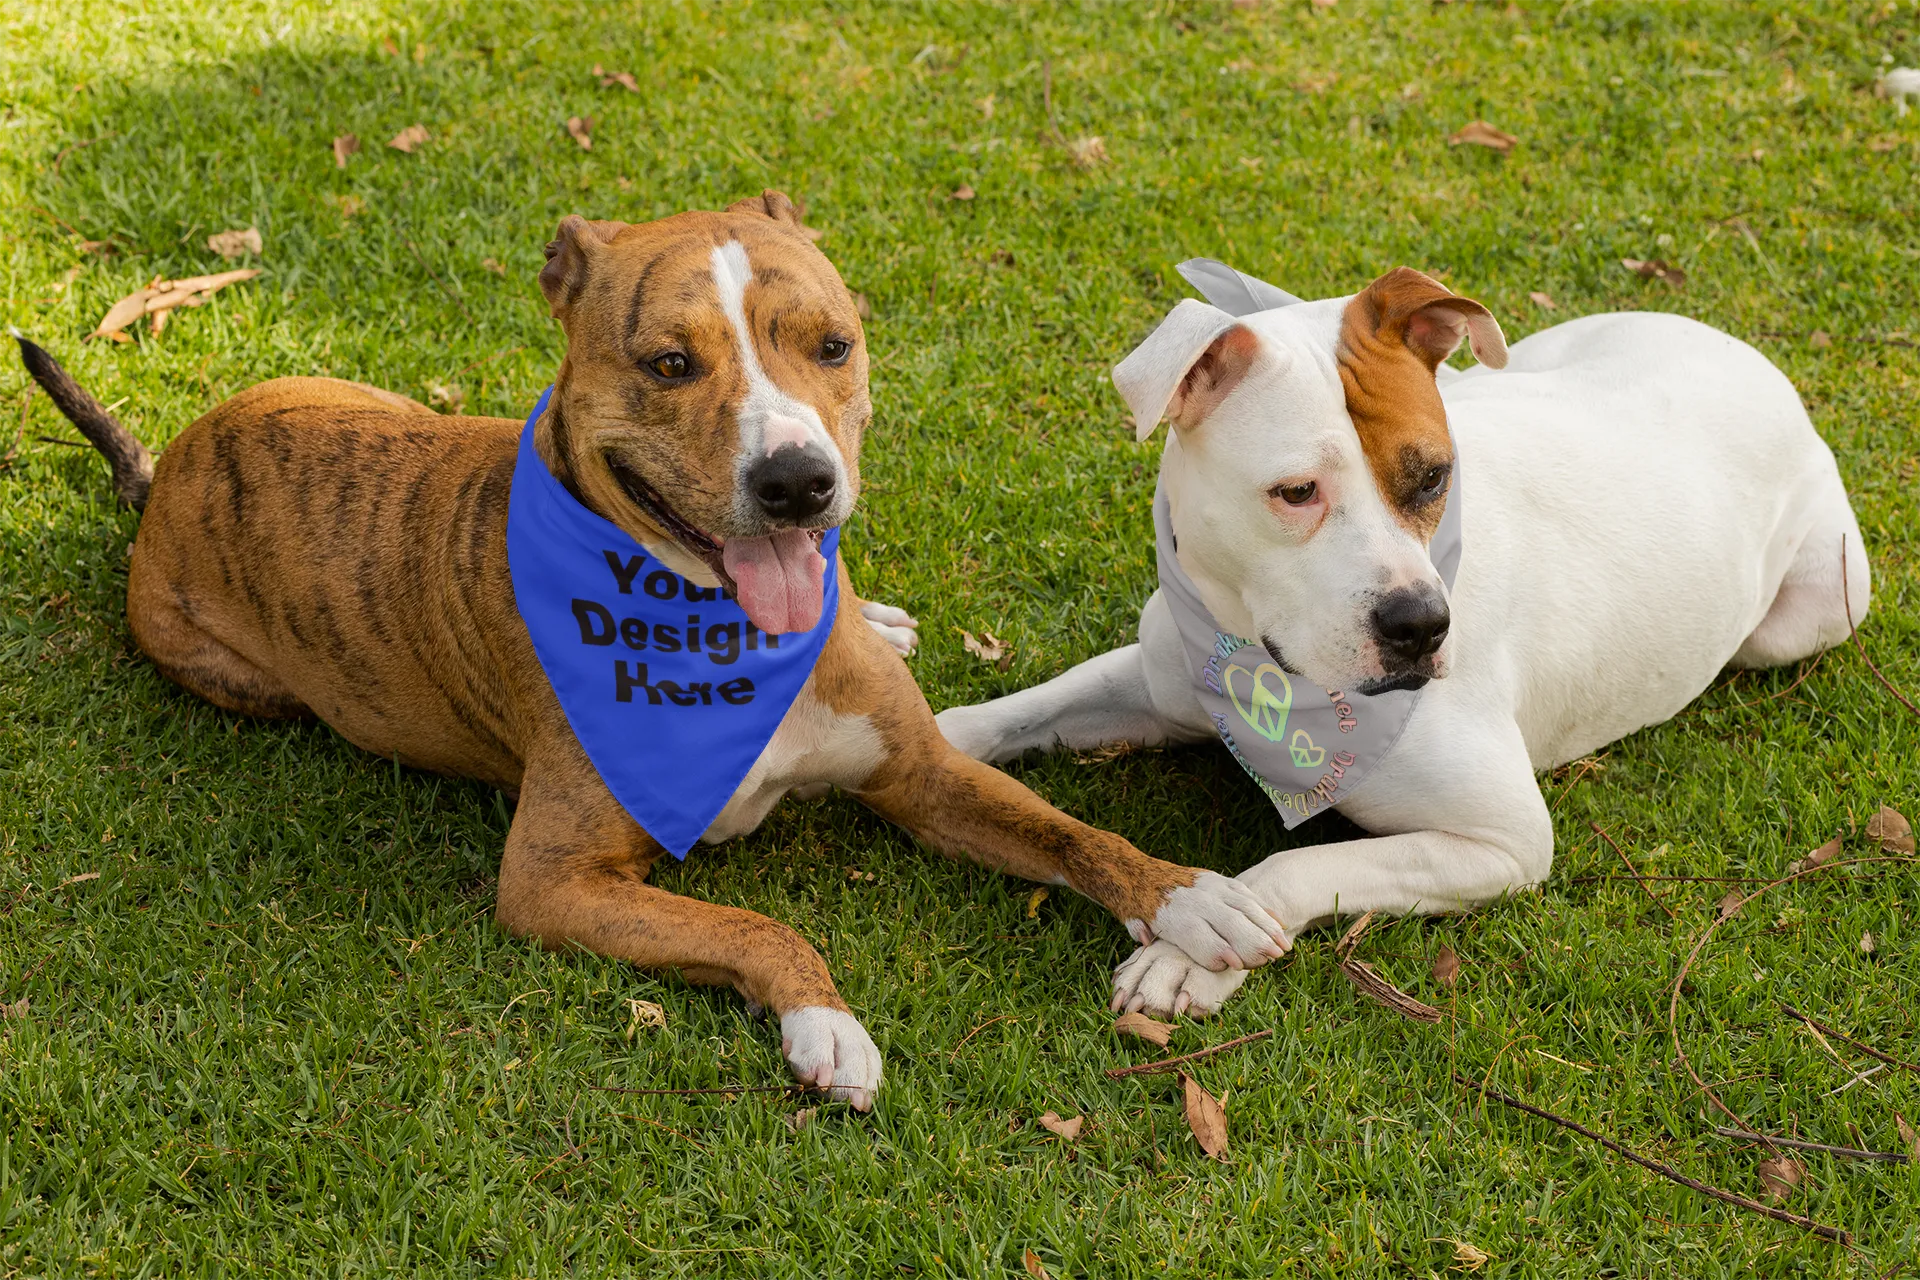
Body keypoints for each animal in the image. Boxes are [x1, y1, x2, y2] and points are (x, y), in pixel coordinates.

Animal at [18, 192, 1290, 1113]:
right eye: (669, 363)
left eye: (832, 344)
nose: (798, 482)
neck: (722, 634)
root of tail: (170, 471)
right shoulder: (555, 880)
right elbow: (753, 926)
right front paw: (825, 1021)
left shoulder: (921, 773)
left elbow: (1072, 831)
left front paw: (1194, 902)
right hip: (233, 674)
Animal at [936, 262, 1866, 1020]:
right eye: (1296, 492)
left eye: (1433, 477)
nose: (1422, 624)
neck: (1257, 666)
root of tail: (1744, 353)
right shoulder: (1160, 681)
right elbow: (1011, 714)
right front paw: (933, 738)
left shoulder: (1502, 841)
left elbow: (1295, 868)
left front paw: (1194, 951)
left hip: (1807, 614)